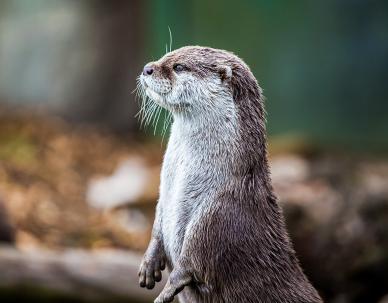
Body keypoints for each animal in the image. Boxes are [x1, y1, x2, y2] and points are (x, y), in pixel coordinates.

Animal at [136, 45, 322, 303]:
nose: (147, 68)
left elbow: (191, 262)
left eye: (179, 67)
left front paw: (166, 291)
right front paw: (148, 264)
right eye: (166, 56)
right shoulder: (164, 196)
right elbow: (157, 226)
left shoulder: (217, 212)